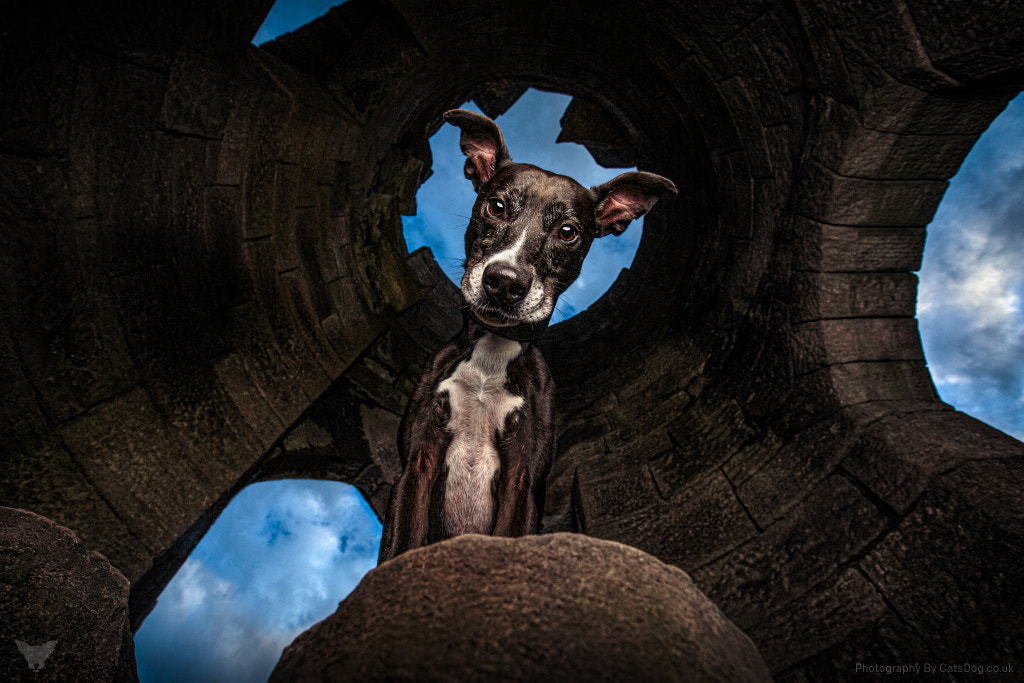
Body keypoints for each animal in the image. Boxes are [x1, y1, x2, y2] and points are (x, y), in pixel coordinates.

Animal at [378, 111, 679, 561]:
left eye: (568, 232)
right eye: (497, 206)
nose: (504, 282)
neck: (492, 354)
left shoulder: (523, 478)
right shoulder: (417, 463)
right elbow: (400, 549)